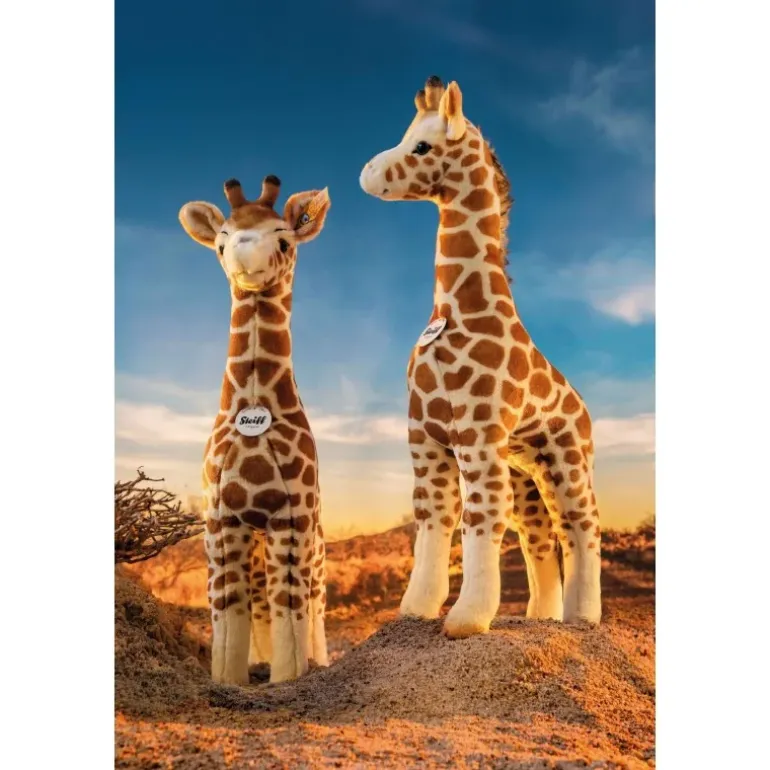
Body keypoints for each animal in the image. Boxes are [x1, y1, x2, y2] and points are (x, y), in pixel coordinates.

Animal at [178, 175, 331, 684]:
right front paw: (236, 679)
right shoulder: (221, 520)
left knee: (315, 601)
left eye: (284, 239)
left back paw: (321, 661)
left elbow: (291, 610)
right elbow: (230, 612)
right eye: (221, 243)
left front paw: (291, 679)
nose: (246, 261)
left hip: (317, 543)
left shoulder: (292, 518)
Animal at [359, 76, 602, 638]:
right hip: (527, 466)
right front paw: (418, 608)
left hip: (569, 458)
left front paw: (467, 619)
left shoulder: (475, 431)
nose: (368, 174)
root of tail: (585, 411)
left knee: (581, 523)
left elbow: (481, 514)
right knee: (539, 532)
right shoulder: (425, 434)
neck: (454, 310)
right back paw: (544, 616)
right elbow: (435, 515)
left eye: (422, 146)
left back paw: (584, 617)